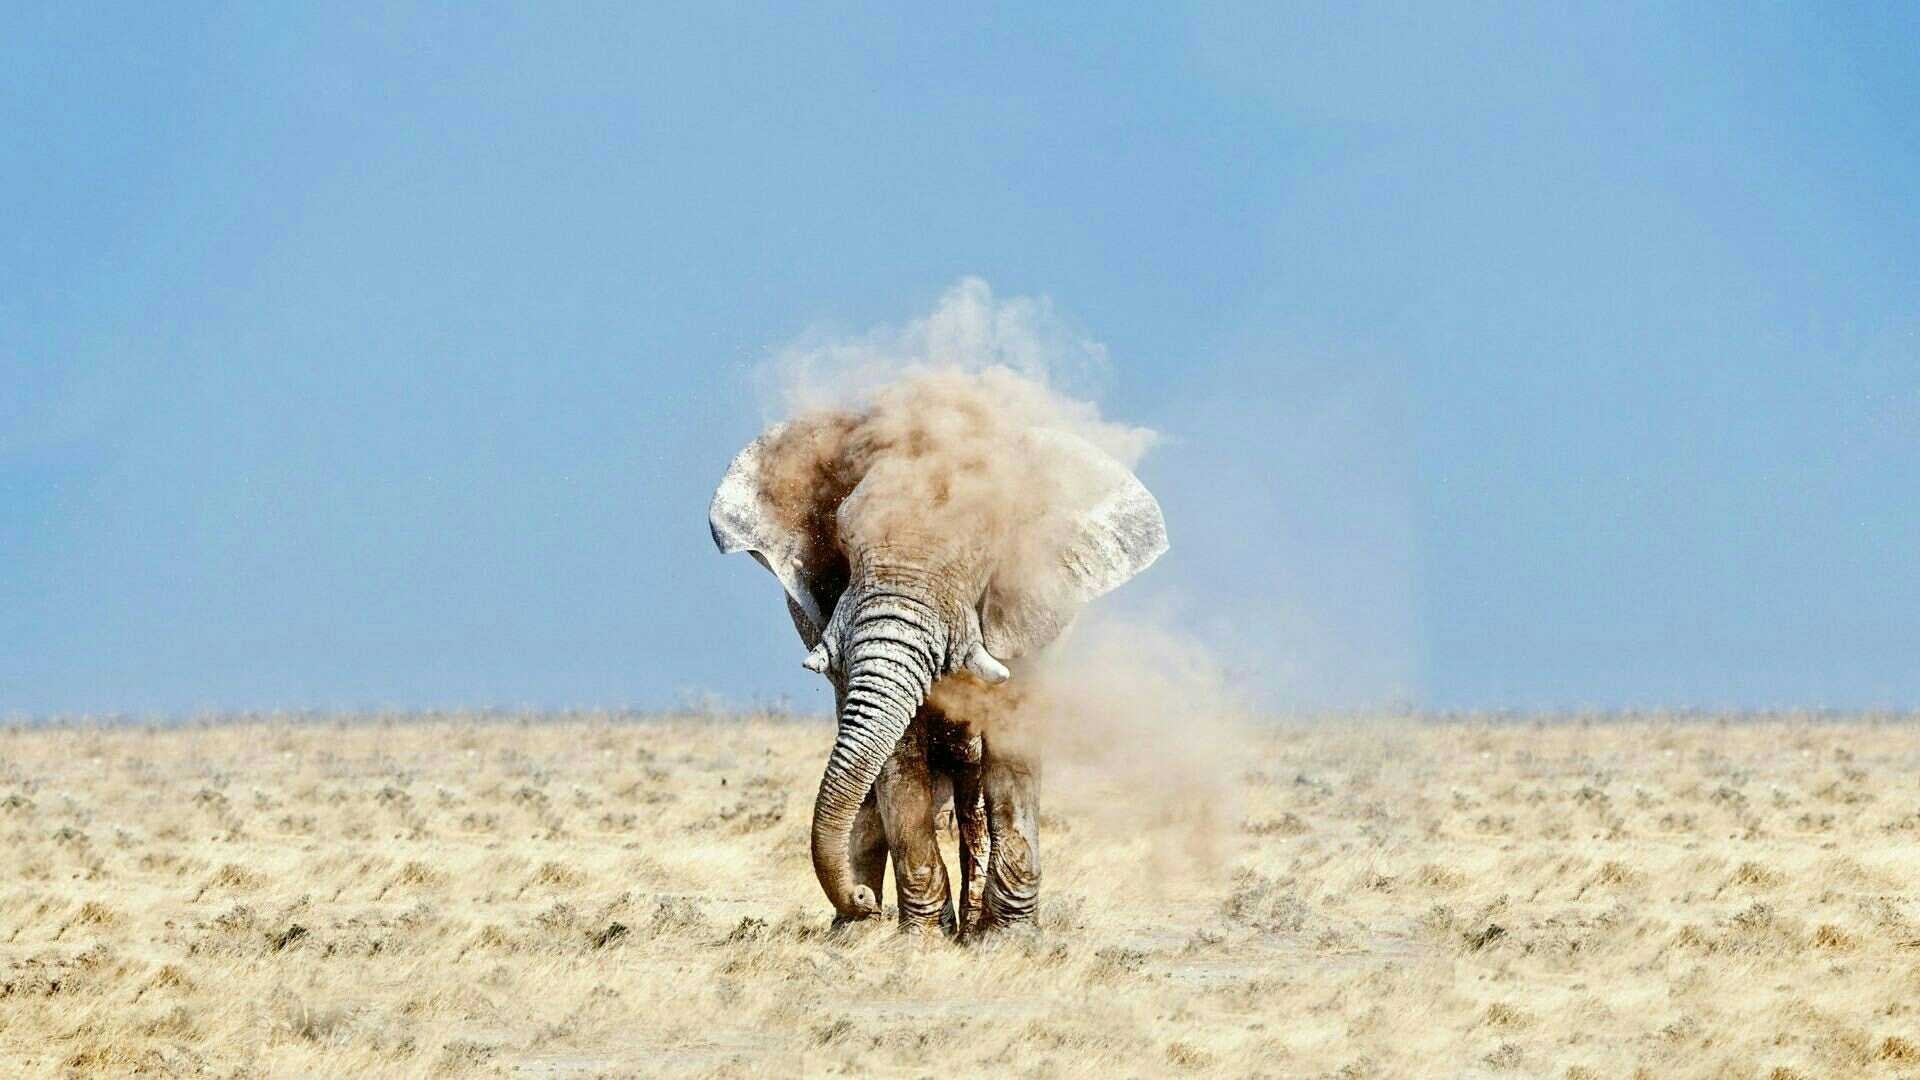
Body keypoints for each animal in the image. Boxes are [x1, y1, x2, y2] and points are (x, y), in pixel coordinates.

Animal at [708, 378, 1166, 934]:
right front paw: (921, 939)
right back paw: (856, 933)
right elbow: (897, 756)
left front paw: (1007, 939)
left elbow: (1011, 745)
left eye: (983, 554)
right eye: (843, 539)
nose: (858, 896)